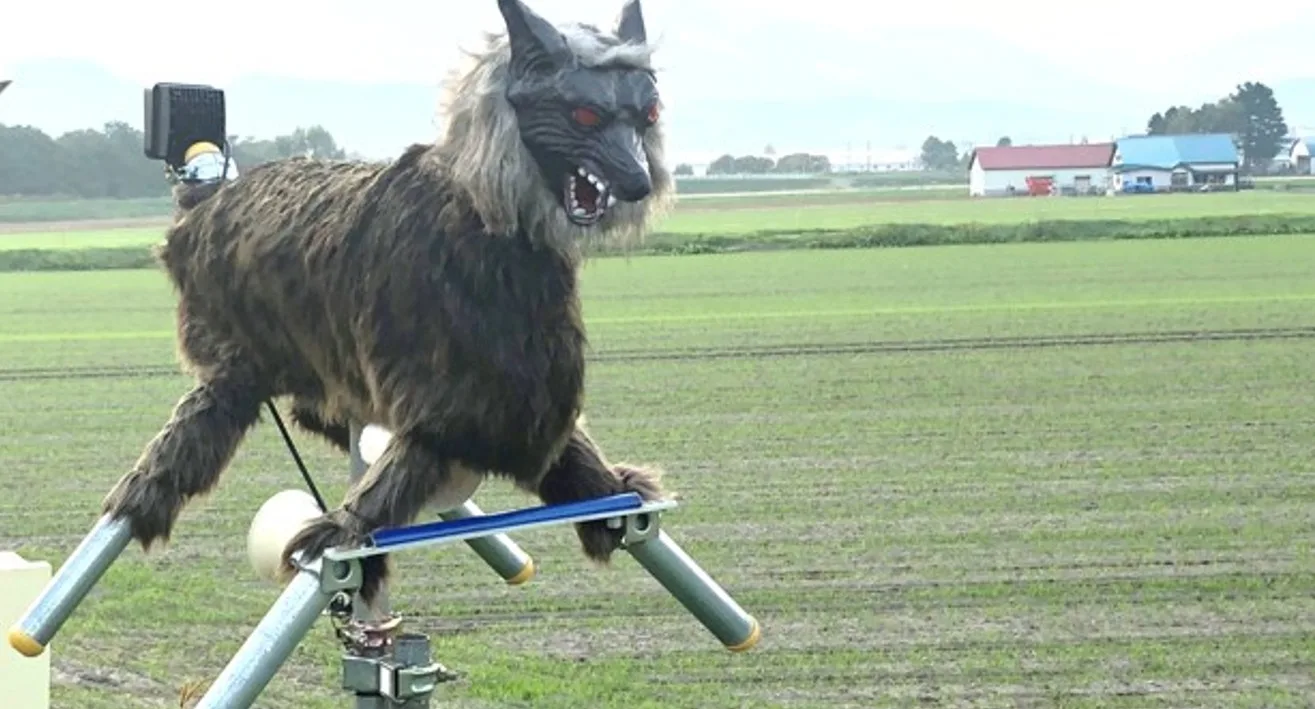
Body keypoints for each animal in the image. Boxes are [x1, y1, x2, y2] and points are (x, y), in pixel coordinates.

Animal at [100, 0, 675, 605]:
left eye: (650, 113)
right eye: (583, 115)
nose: (637, 182)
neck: (483, 220)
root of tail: (208, 196)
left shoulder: (523, 399)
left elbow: (570, 452)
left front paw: (614, 489)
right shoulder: (446, 396)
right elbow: (403, 469)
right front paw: (346, 530)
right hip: (239, 360)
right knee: (198, 427)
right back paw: (142, 497)